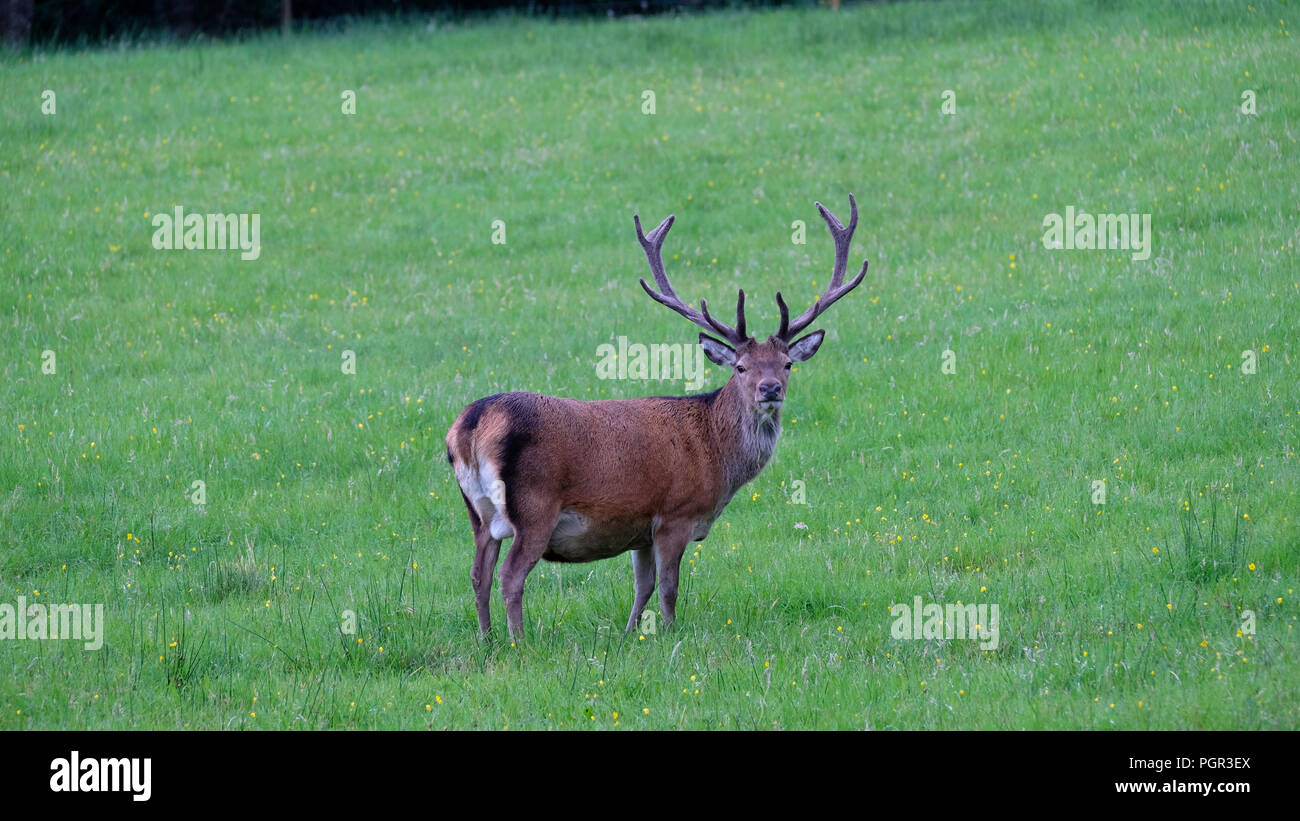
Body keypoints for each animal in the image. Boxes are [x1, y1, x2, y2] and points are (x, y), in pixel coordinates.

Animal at [445, 195, 869, 640]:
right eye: (741, 367)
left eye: (787, 364)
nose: (769, 389)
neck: (716, 454)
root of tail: (472, 424)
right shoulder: (674, 514)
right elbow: (668, 587)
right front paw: (669, 632)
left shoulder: (641, 527)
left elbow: (643, 585)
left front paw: (630, 633)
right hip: (534, 507)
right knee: (510, 575)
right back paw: (519, 642)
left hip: (478, 512)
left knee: (478, 573)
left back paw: (487, 639)